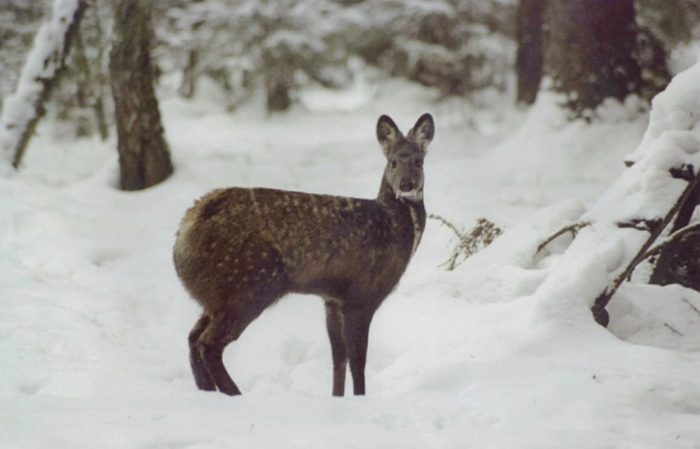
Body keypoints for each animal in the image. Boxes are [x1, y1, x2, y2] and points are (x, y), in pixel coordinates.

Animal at [173, 113, 434, 396]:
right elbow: (357, 360)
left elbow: (339, 358)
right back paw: (235, 395)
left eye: (418, 161)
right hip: (248, 284)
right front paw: (359, 399)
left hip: (217, 295)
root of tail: (186, 228)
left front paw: (337, 399)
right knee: (208, 344)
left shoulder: (332, 299)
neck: (392, 225)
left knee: (192, 337)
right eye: (393, 162)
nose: (406, 185)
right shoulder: (362, 294)